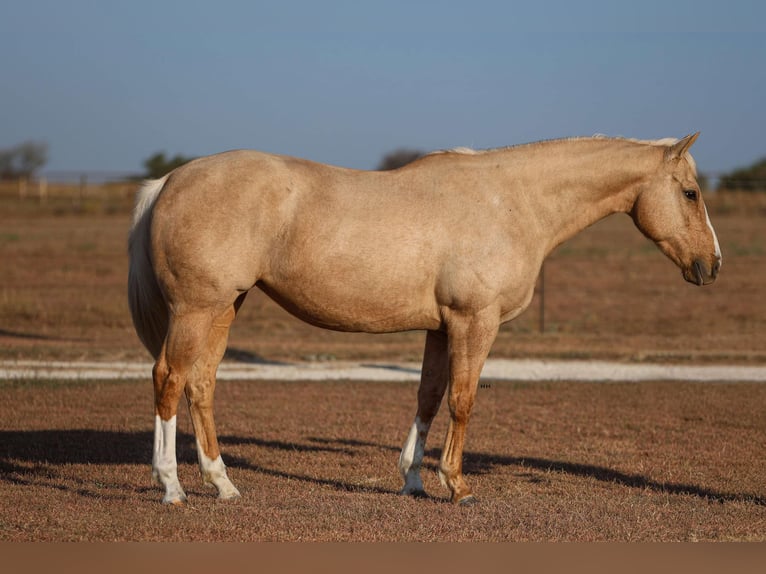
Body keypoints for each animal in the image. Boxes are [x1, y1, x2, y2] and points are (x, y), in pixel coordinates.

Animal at [128, 133, 721, 505]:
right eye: (690, 192)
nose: (712, 265)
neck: (511, 201)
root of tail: (170, 180)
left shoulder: (441, 328)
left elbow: (429, 398)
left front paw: (412, 480)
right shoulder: (474, 323)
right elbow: (463, 401)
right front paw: (456, 485)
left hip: (224, 307)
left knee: (201, 384)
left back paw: (222, 484)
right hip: (197, 309)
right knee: (169, 379)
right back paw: (172, 487)